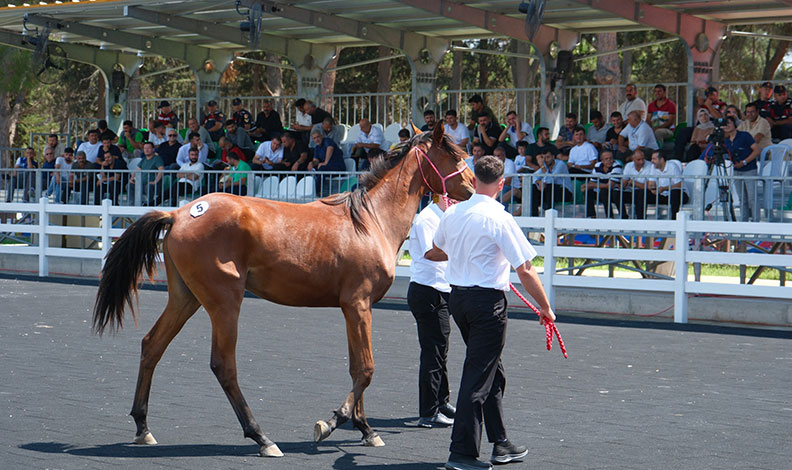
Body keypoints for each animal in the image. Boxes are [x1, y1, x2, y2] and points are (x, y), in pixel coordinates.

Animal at [92, 123, 474, 458]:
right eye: (454, 154)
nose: (473, 185)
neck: (369, 221)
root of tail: (180, 213)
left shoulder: (352, 308)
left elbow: (356, 368)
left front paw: (366, 430)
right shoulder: (359, 304)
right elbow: (366, 369)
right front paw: (331, 422)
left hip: (185, 299)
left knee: (152, 346)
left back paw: (143, 428)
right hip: (224, 302)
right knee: (223, 365)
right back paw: (262, 438)